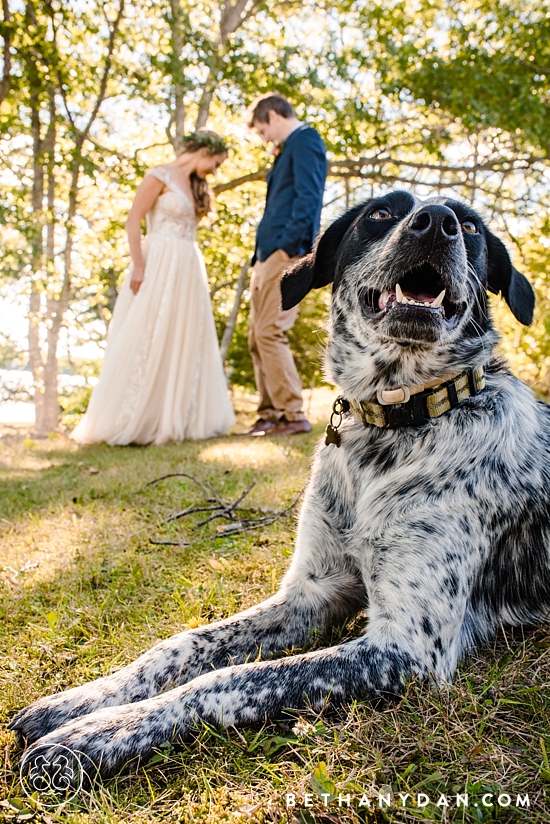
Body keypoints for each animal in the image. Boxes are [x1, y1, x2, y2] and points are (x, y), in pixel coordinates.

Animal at [8, 188, 550, 784]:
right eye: (381, 213)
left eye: (471, 228)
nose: (437, 223)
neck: (392, 425)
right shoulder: (313, 593)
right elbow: (182, 643)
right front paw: (84, 699)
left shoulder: (407, 646)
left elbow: (225, 680)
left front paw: (100, 732)